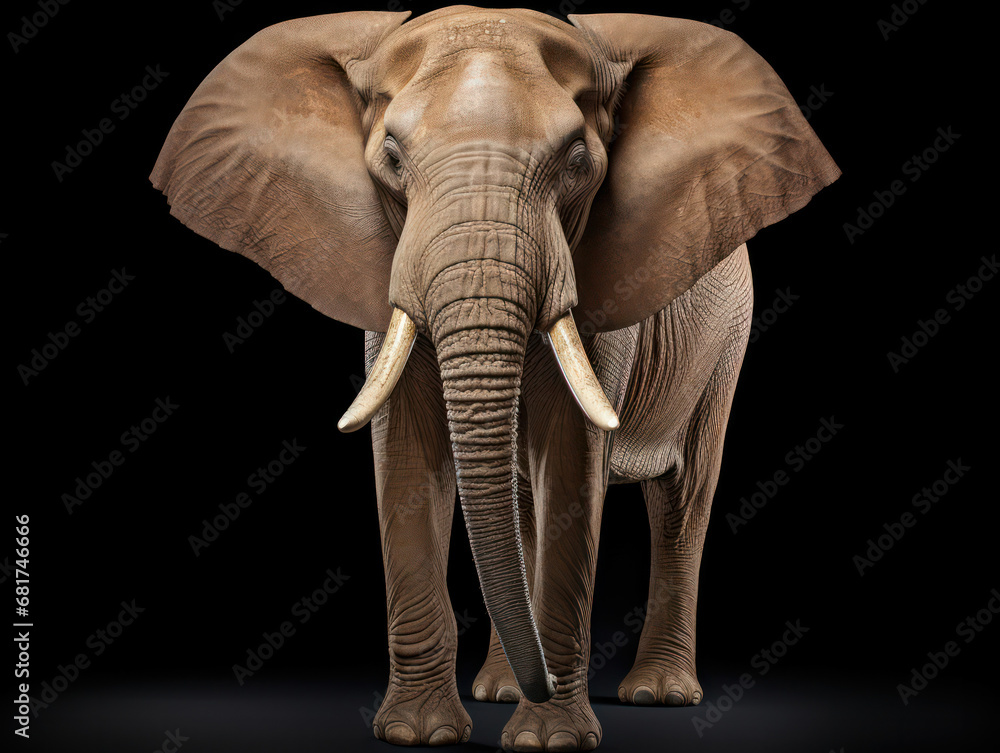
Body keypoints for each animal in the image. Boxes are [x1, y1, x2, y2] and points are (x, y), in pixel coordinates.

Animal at [150, 6, 838, 751]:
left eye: (577, 160)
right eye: (391, 158)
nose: (545, 683)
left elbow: (571, 456)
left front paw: (550, 740)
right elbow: (407, 454)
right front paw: (417, 734)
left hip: (727, 333)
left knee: (683, 500)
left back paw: (656, 694)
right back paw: (503, 689)